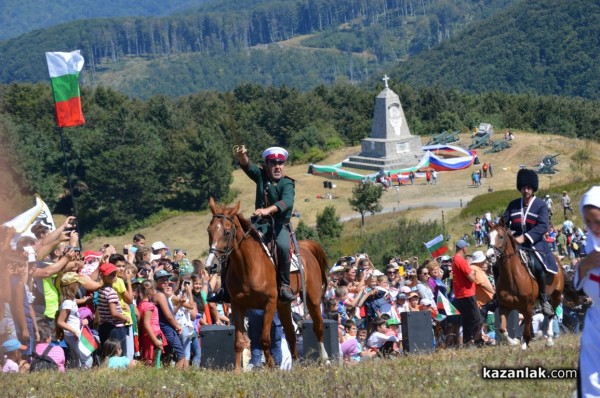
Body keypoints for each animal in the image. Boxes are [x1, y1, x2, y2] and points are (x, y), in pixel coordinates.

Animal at [205, 197, 328, 372]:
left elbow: (264, 339)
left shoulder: (269, 303)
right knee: (290, 333)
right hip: (284, 305)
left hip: (313, 299)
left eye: (227, 232)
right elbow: (239, 341)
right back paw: (296, 363)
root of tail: (306, 248)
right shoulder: (237, 305)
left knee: (318, 326)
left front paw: (271, 367)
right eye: (209, 231)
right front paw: (237, 371)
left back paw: (325, 360)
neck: (248, 266)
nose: (211, 266)